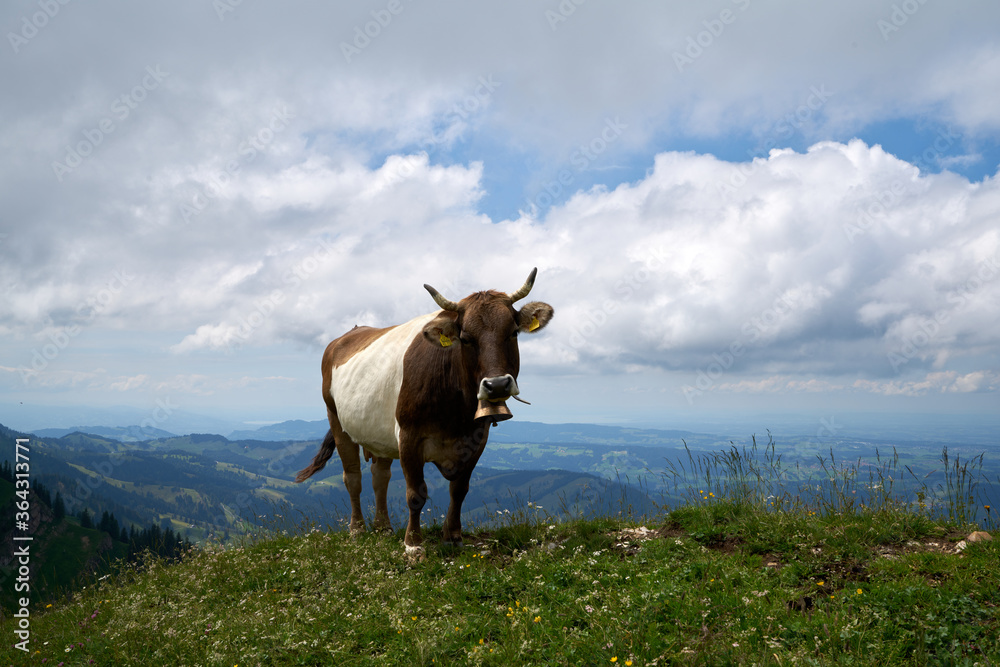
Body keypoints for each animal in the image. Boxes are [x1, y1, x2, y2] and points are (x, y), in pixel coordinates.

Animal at [295, 268, 553, 555]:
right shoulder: (409, 436)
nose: (497, 384)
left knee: (380, 477)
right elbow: (415, 494)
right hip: (337, 420)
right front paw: (413, 545)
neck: (456, 416)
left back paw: (383, 527)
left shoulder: (478, 437)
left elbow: (459, 489)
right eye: (466, 339)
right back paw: (358, 529)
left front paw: (453, 537)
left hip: (379, 433)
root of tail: (346, 335)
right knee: (352, 477)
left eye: (513, 333)